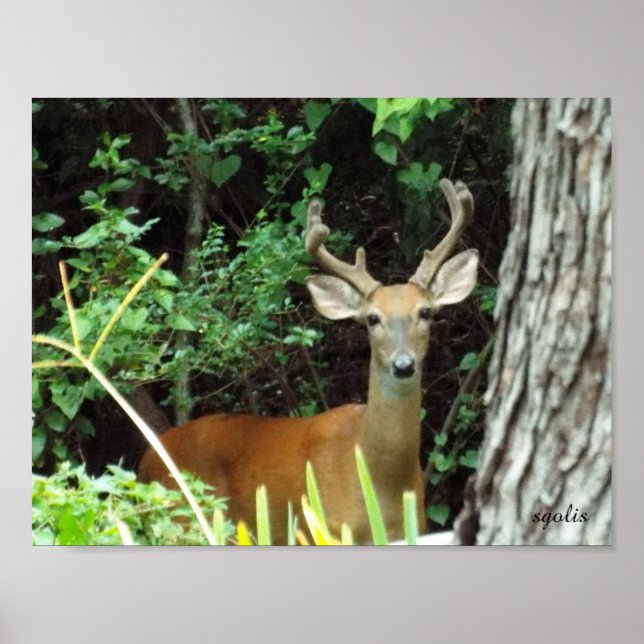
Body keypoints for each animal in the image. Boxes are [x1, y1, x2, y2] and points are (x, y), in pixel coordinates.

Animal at [138, 178, 479, 544]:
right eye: (372, 318)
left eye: (426, 312)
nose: (403, 365)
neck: (380, 481)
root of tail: (145, 460)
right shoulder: (323, 529)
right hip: (184, 522)